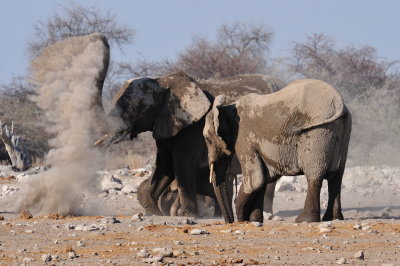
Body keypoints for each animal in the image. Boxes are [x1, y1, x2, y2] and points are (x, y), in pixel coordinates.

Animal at [205, 78, 352, 222]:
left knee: (314, 175)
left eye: (207, 140)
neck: (227, 107)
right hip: (344, 128)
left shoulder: (243, 137)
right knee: (337, 176)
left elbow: (255, 180)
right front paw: (255, 220)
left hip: (318, 131)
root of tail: (338, 100)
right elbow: (264, 178)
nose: (230, 221)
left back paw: (305, 220)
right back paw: (333, 218)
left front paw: (243, 220)